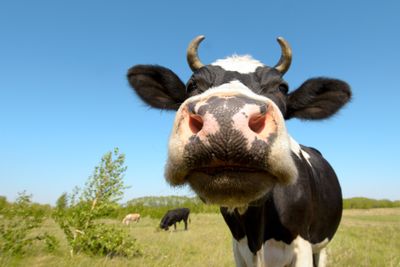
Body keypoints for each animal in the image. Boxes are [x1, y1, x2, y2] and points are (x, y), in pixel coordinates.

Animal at [127, 36, 350, 267]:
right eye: (192, 85)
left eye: (282, 87)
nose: (225, 114)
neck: (257, 240)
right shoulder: (239, 249)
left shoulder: (302, 246)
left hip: (321, 244)